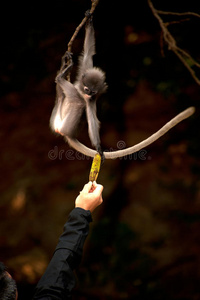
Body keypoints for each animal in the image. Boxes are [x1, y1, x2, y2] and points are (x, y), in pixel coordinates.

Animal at [49, 17, 107, 157]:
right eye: (87, 89)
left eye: (93, 92)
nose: (88, 94)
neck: (82, 91)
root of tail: (69, 135)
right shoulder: (84, 72)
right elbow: (88, 53)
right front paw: (89, 21)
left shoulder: (91, 100)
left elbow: (92, 120)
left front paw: (98, 147)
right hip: (57, 114)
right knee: (61, 96)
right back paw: (64, 67)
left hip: (65, 125)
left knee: (78, 102)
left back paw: (61, 76)